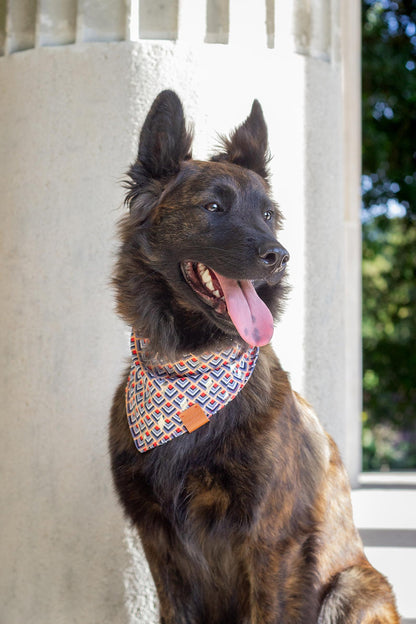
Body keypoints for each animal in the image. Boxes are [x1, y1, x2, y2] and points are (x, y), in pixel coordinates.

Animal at [110, 90, 400, 620]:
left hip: (350, 588)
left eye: (267, 214)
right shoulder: (159, 543)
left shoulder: (270, 541)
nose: (279, 256)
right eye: (213, 206)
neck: (186, 376)